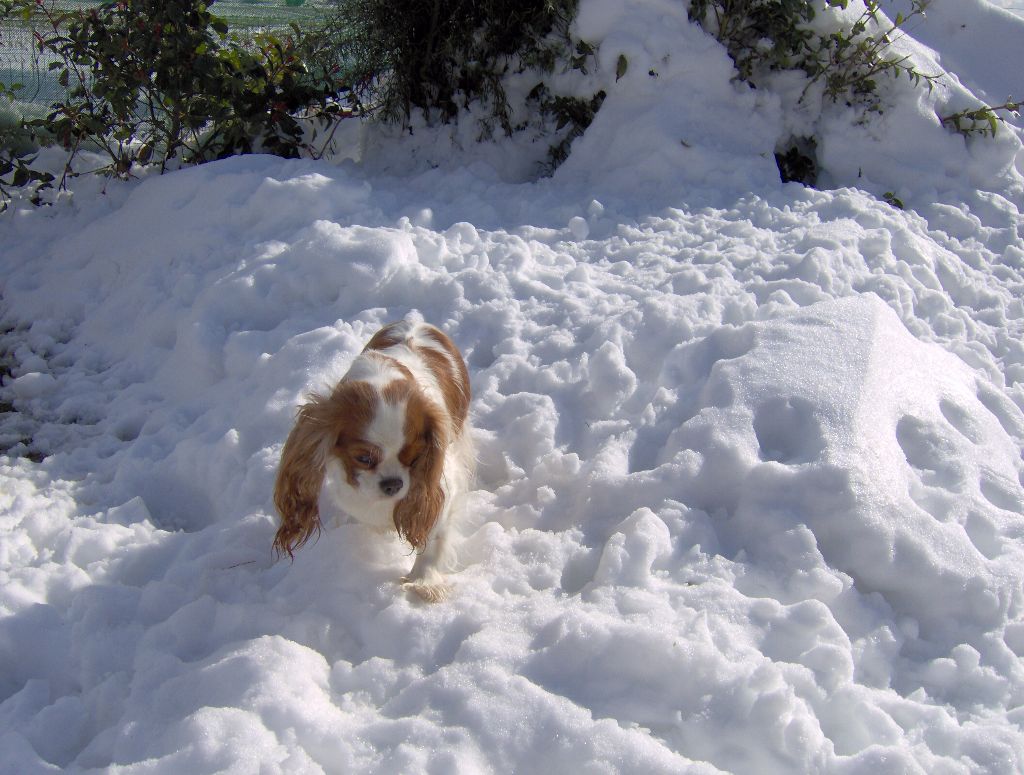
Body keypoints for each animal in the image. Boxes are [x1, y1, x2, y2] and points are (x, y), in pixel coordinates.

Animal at [276, 317, 475, 601]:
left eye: (414, 457)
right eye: (363, 458)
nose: (393, 485)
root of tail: (415, 319)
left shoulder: (441, 476)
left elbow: (433, 532)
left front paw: (423, 581)